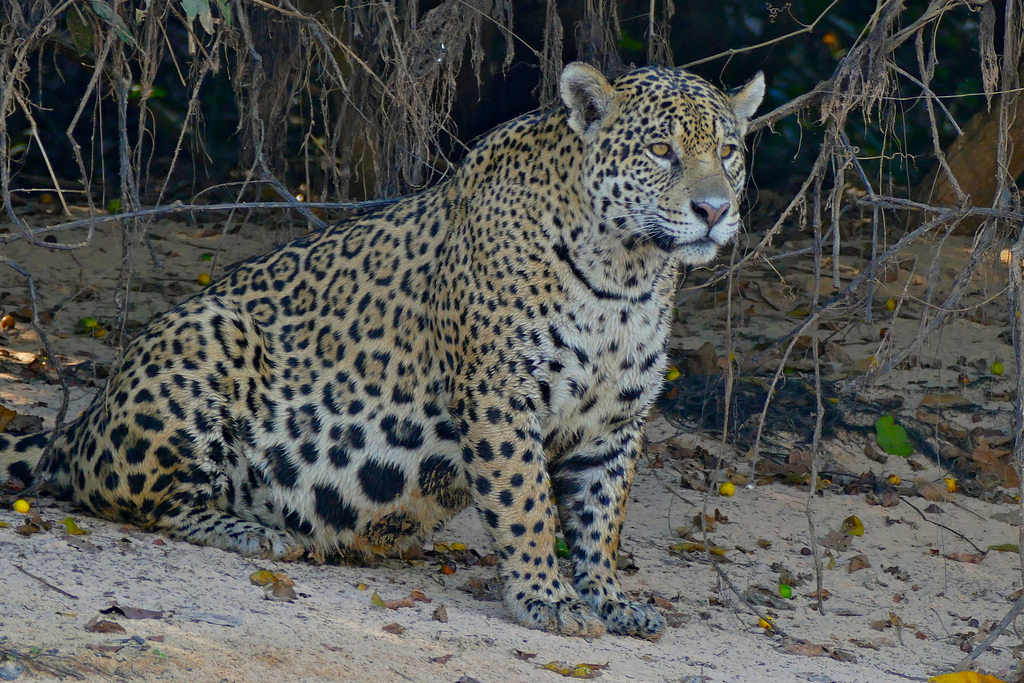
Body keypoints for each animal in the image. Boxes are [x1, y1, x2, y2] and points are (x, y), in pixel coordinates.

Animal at [1, 62, 763, 640]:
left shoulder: (616, 422)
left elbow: (602, 518)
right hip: (209, 336)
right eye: (660, 151)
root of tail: (85, 419)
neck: (627, 276)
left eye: (728, 152)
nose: (714, 211)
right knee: (134, 498)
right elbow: (528, 505)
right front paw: (547, 597)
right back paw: (255, 533)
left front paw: (609, 598)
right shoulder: (502, 395)